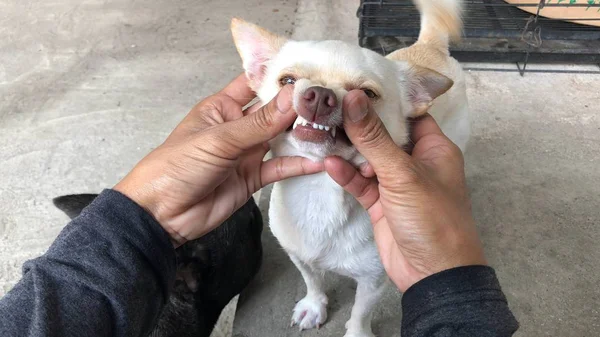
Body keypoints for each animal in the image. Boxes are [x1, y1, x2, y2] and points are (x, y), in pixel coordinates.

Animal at [230, 1, 468, 334]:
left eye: (367, 95)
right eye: (287, 81)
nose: (319, 94)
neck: (319, 187)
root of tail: (428, 47)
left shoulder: (374, 280)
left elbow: (360, 312)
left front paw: (357, 332)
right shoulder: (298, 255)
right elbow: (312, 280)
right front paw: (314, 305)